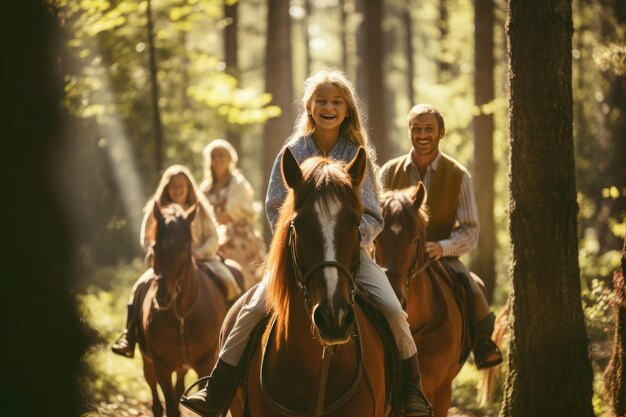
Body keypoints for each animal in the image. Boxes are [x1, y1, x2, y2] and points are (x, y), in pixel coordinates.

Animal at [136, 202, 227, 416]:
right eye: (155, 247)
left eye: (184, 249)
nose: (163, 297)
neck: (182, 314)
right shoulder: (161, 366)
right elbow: (170, 406)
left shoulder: (206, 363)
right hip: (148, 363)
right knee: (155, 398)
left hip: (182, 367)